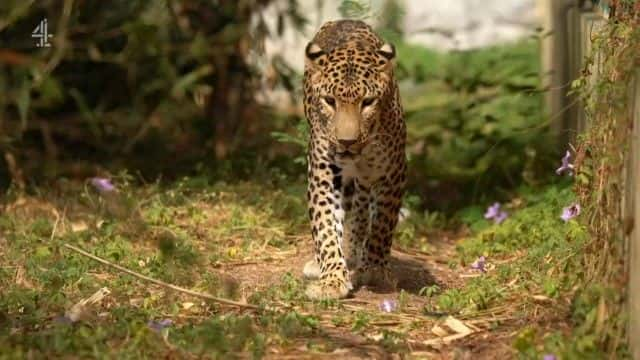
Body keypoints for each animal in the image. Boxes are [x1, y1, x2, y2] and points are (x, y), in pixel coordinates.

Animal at [300, 20, 404, 300]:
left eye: (367, 102)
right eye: (329, 101)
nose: (347, 141)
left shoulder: (392, 174)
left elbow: (381, 226)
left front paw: (375, 270)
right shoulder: (324, 177)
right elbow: (326, 228)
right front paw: (332, 279)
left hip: (367, 181)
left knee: (361, 209)